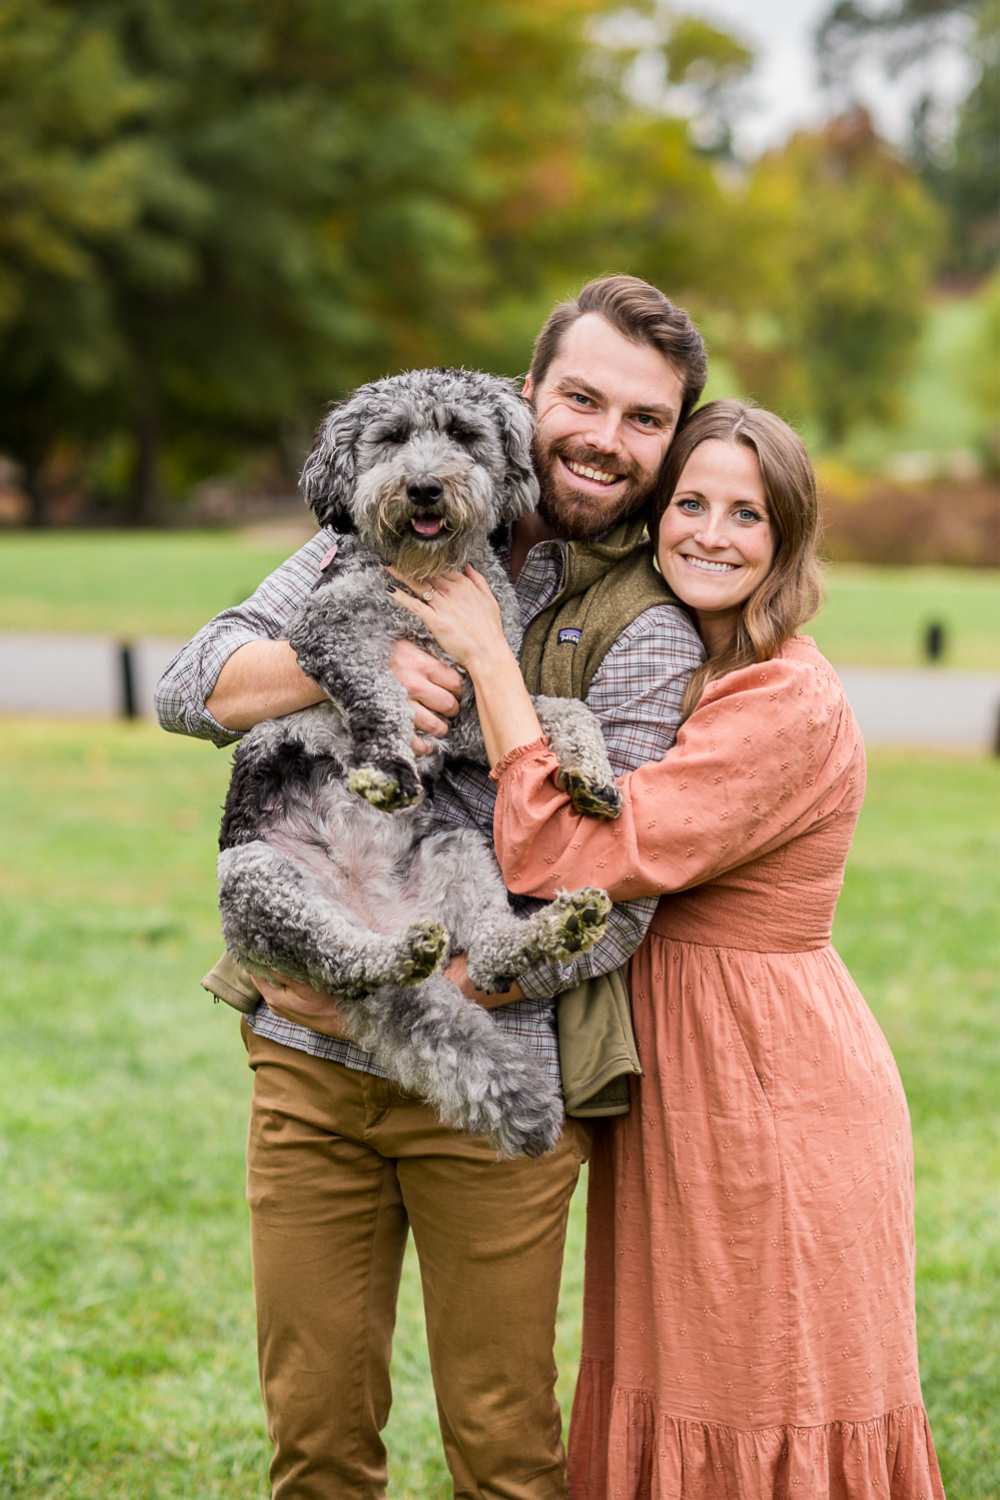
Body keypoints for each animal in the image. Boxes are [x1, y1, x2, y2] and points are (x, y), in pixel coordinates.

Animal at [220, 366, 626, 1158]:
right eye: (392, 437)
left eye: (463, 435)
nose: (425, 489)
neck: (425, 574)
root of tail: (375, 912)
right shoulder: (334, 632)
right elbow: (381, 698)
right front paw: (387, 768)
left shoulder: (471, 707)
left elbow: (565, 712)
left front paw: (591, 774)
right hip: (259, 881)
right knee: (345, 961)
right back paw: (395, 953)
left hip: (455, 847)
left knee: (492, 952)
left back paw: (555, 928)